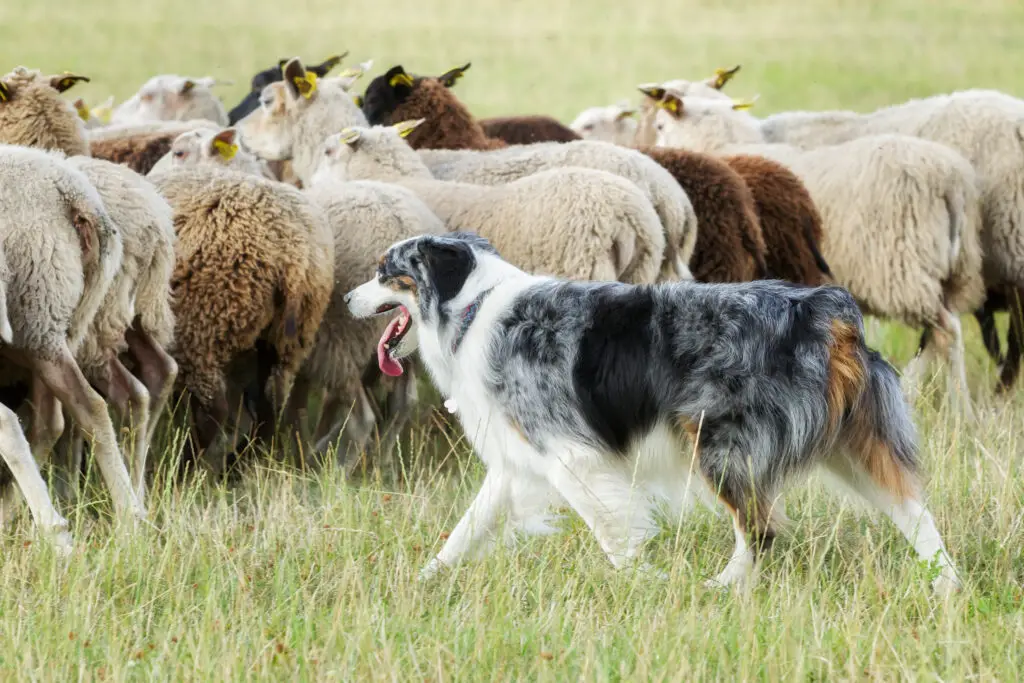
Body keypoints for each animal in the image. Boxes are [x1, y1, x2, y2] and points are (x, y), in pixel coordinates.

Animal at [145, 165, 331, 473]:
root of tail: (293, 250)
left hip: (202, 326)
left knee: (213, 410)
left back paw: (183, 469)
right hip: (287, 339)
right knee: (271, 405)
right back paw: (236, 467)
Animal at [348, 232, 962, 593]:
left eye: (384, 271)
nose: (346, 299)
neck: (471, 307)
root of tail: (824, 309)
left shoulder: (571, 456)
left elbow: (612, 530)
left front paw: (643, 582)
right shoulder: (517, 459)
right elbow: (465, 531)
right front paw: (424, 581)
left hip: (719, 443)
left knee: (761, 530)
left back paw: (720, 589)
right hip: (851, 445)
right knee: (914, 511)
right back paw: (946, 585)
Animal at [643, 92, 987, 417]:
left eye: (660, 125)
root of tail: (953, 182)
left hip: (902, 267)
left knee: (948, 330)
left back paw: (958, 409)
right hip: (952, 272)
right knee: (940, 332)